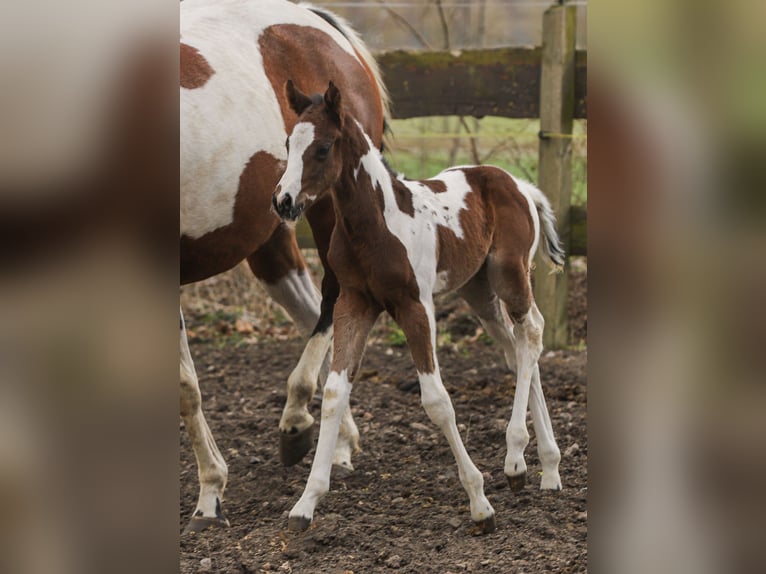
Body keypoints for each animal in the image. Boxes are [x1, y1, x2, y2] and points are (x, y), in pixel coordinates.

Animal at [180, 0, 389, 532]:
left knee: (333, 298)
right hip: (271, 230)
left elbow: (185, 386)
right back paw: (338, 443)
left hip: (328, 206)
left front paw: (210, 495)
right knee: (316, 309)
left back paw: (295, 420)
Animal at [273, 81, 565, 533]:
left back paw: (516, 461)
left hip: (510, 275)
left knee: (532, 333)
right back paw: (547, 469)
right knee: (517, 348)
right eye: (289, 143)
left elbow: (436, 400)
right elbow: (335, 392)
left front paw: (480, 503)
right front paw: (306, 503)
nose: (284, 202)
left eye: (322, 148)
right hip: (478, 291)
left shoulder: (415, 307)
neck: (374, 226)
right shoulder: (354, 304)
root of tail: (519, 185)